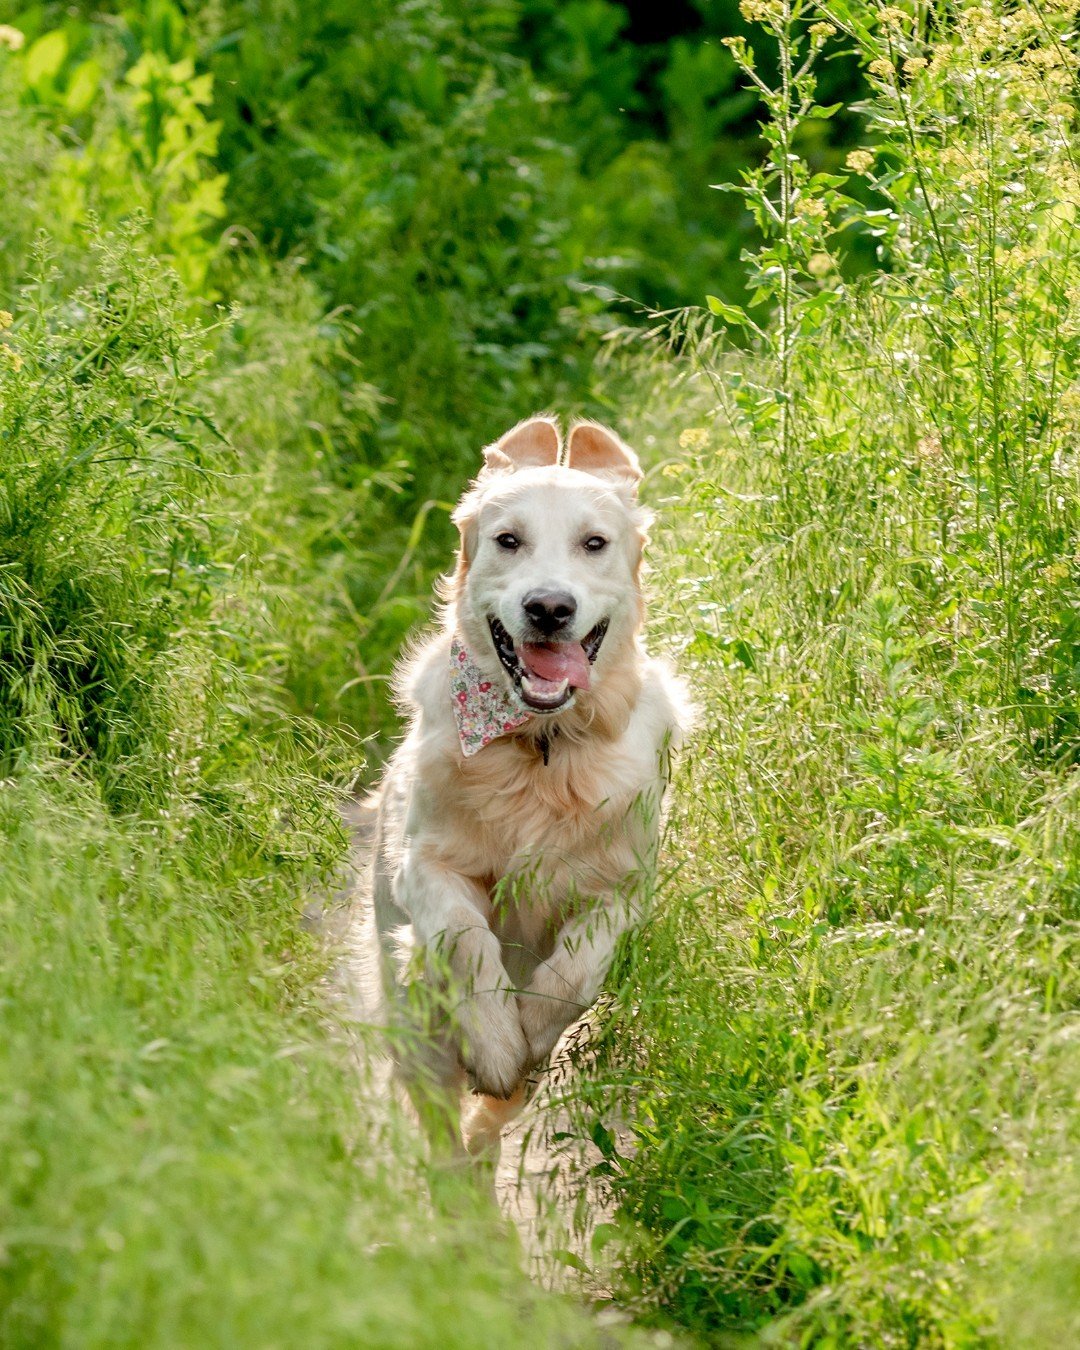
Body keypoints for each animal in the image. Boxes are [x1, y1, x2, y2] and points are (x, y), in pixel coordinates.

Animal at [367, 415, 688, 1166]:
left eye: (594, 543)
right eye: (508, 540)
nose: (548, 607)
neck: (541, 748)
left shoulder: (624, 888)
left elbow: (575, 971)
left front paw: (530, 1032)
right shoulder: (423, 864)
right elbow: (464, 940)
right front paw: (494, 1042)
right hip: (412, 1019)